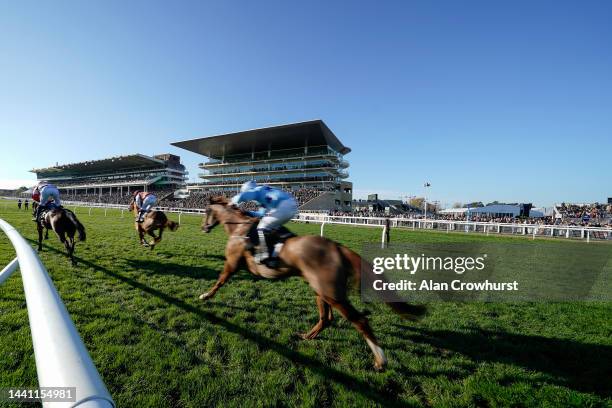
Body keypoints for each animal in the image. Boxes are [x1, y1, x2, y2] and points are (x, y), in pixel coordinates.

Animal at [201, 196, 426, 372]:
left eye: (206, 211)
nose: (203, 227)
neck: (240, 227)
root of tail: (338, 248)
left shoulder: (232, 263)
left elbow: (220, 281)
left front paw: (205, 296)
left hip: (331, 293)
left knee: (359, 320)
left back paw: (380, 360)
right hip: (321, 290)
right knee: (326, 318)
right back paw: (307, 335)